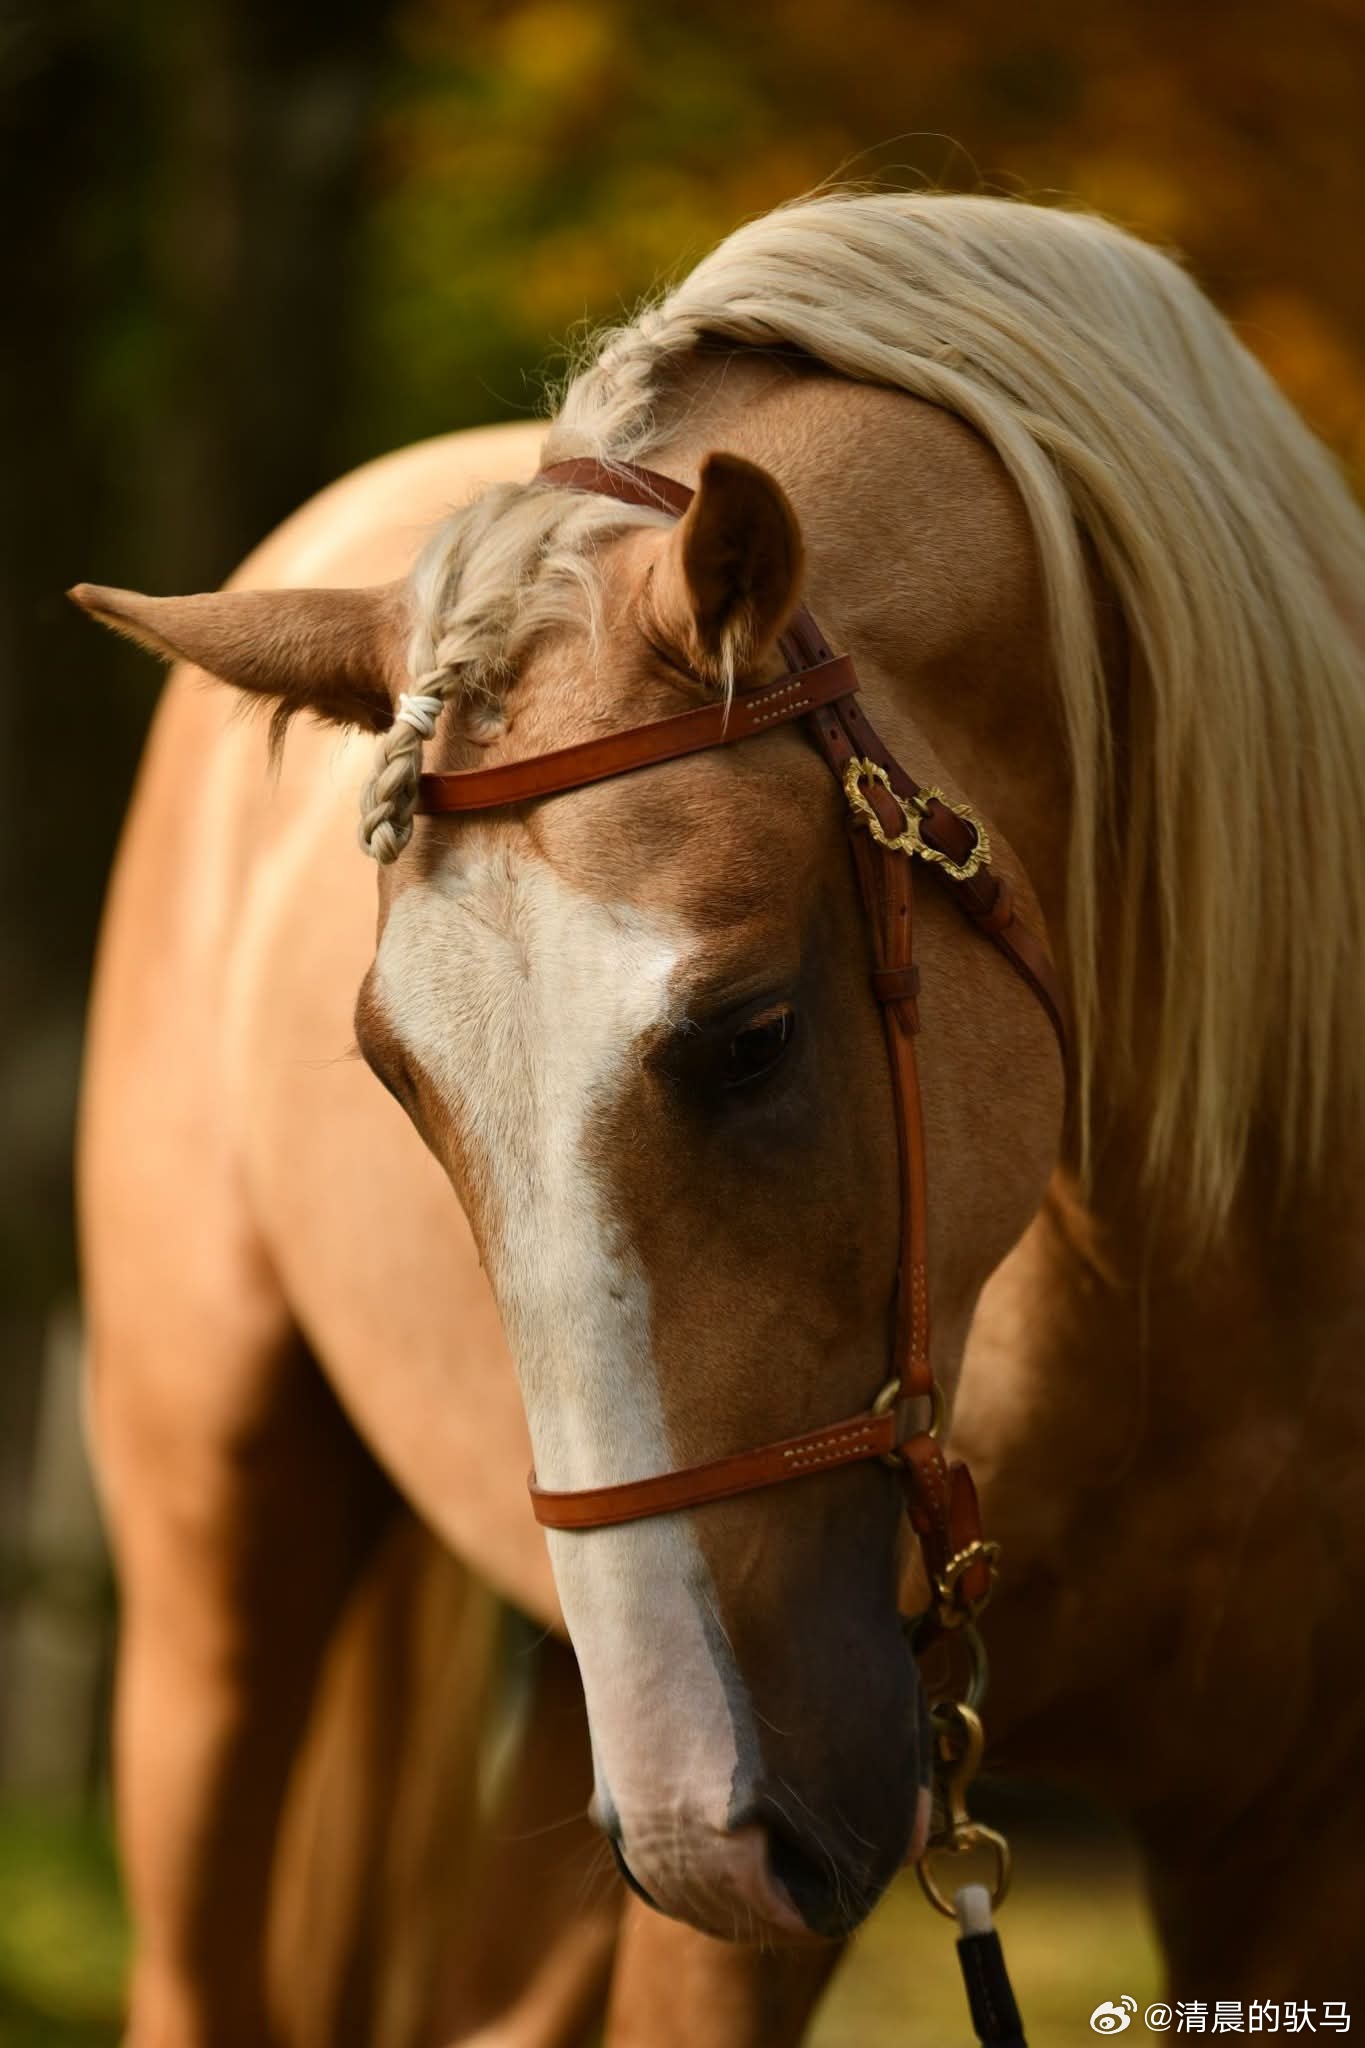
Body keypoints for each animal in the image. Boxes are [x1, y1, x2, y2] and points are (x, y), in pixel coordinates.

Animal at [74, 191, 1365, 2047]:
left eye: (751, 1038)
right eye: (400, 1081)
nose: (707, 1813)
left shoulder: (1294, 1837)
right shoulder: (742, 1892)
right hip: (230, 1587)